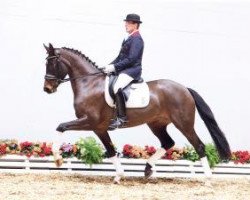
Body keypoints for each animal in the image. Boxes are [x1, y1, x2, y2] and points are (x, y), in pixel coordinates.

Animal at [42, 43, 230, 183]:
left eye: (51, 63)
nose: (47, 89)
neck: (89, 83)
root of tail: (185, 89)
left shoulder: (90, 121)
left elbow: (61, 126)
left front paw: (57, 158)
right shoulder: (99, 128)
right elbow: (110, 150)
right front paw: (119, 176)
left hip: (183, 123)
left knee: (198, 145)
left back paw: (207, 179)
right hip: (156, 124)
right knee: (168, 142)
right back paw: (147, 169)